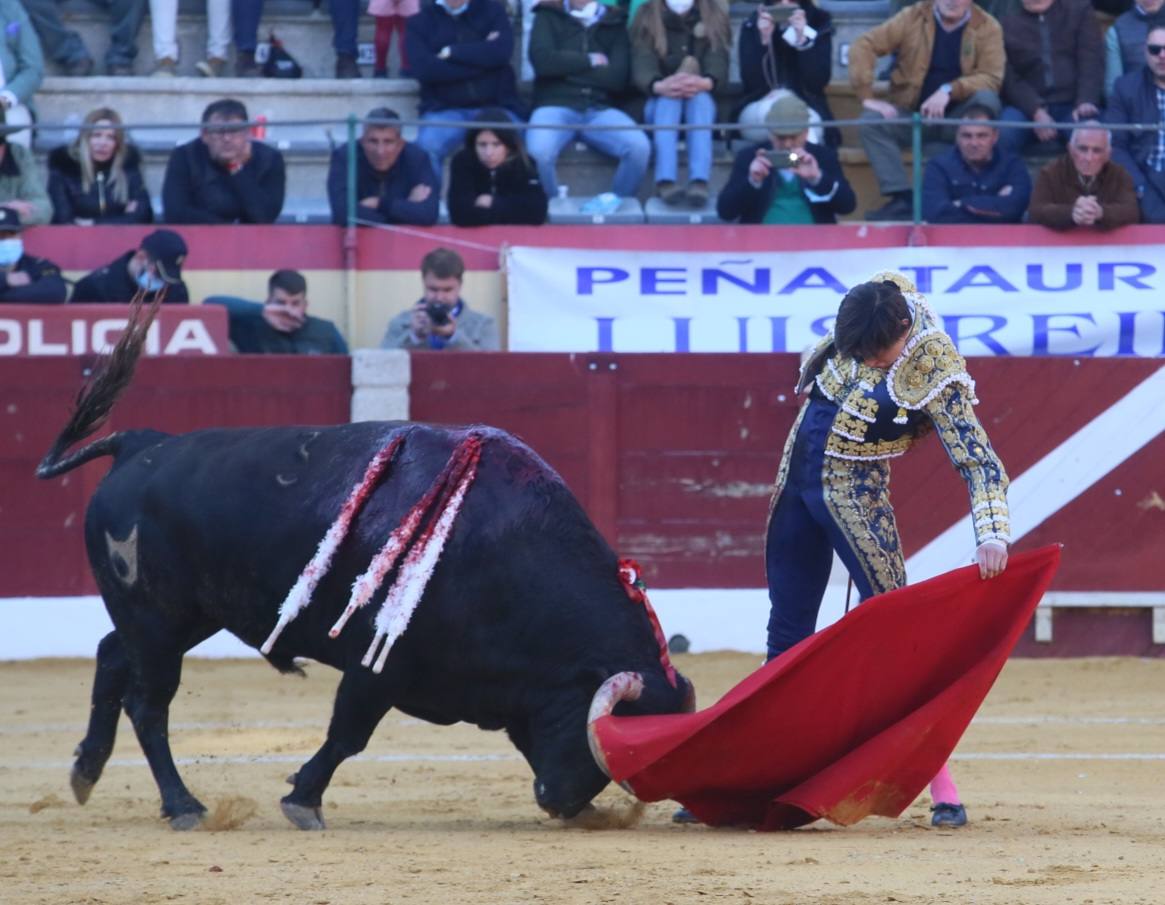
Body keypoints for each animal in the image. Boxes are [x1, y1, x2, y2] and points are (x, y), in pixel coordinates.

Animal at [36, 309, 689, 824]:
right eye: (604, 733)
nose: (564, 804)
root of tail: (139, 444)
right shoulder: (381, 664)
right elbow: (348, 733)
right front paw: (302, 801)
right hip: (156, 619)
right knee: (149, 704)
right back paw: (183, 806)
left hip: (180, 616)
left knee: (110, 657)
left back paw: (86, 772)